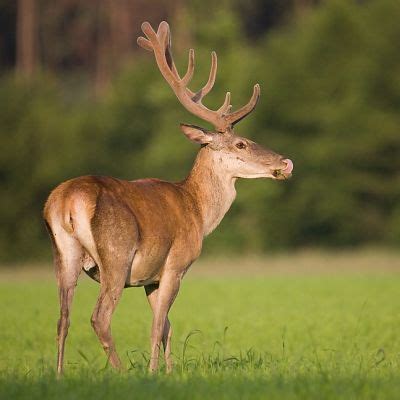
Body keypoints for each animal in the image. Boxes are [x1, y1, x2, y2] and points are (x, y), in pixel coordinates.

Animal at [43, 20, 294, 374]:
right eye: (241, 143)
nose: (284, 162)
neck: (198, 211)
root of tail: (67, 201)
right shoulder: (176, 264)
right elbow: (158, 324)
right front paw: (154, 373)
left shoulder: (151, 277)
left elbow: (168, 327)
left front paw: (171, 371)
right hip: (116, 254)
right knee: (99, 317)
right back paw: (121, 373)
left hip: (63, 255)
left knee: (62, 319)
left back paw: (59, 375)